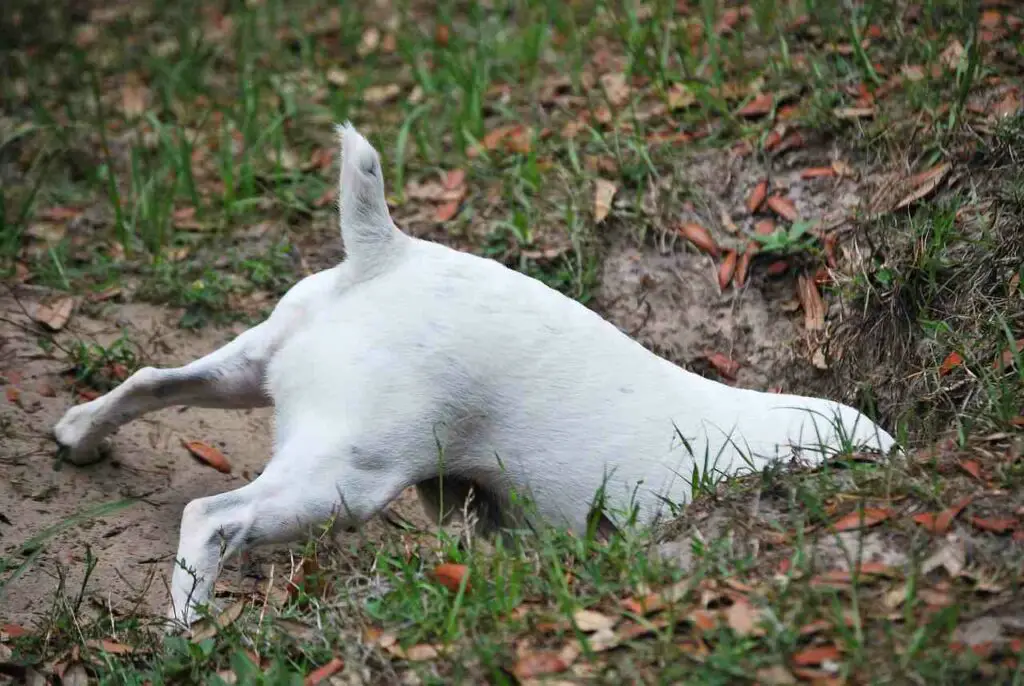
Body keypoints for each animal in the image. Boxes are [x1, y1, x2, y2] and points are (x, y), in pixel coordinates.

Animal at [51, 123, 892, 630]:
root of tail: (387, 252)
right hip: (346, 480)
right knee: (213, 517)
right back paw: (188, 629)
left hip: (249, 373)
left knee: (151, 381)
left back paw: (79, 437)